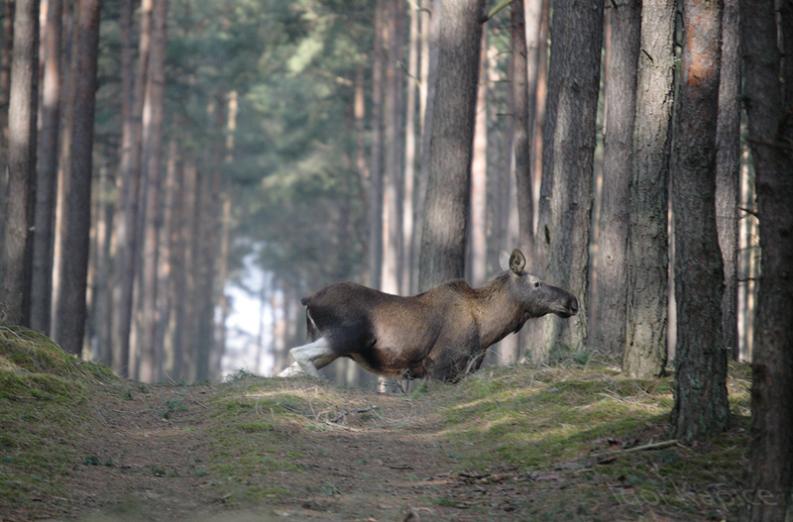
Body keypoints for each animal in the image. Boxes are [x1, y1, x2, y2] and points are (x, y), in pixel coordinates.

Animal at [278, 246, 576, 380]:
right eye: (536, 283)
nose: (572, 301)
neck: (488, 330)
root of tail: (308, 299)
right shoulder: (439, 365)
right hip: (349, 335)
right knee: (297, 353)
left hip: (336, 343)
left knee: (288, 368)